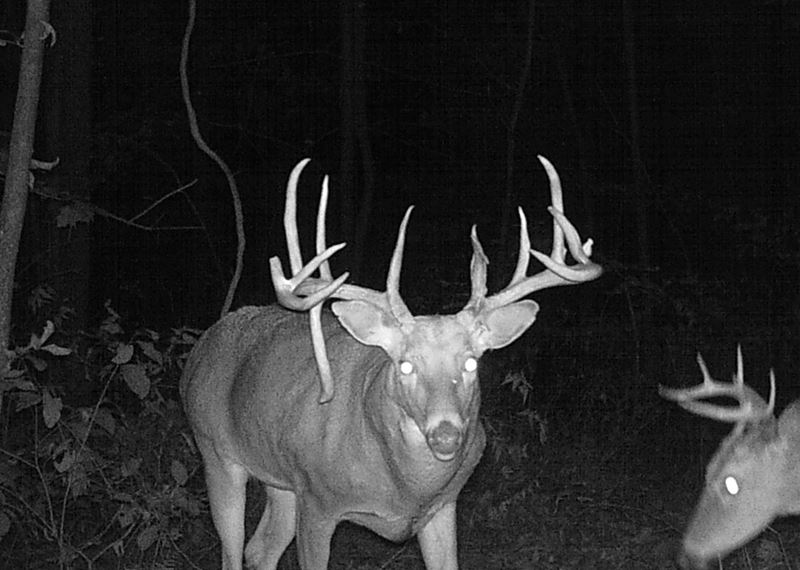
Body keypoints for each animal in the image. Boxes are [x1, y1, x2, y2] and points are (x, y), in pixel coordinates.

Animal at [180, 156, 602, 570]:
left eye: (471, 364)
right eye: (405, 365)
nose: (446, 435)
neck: (405, 490)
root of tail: (201, 348)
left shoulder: (442, 506)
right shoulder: (316, 500)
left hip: (280, 479)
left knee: (260, 551)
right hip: (216, 453)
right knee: (233, 552)